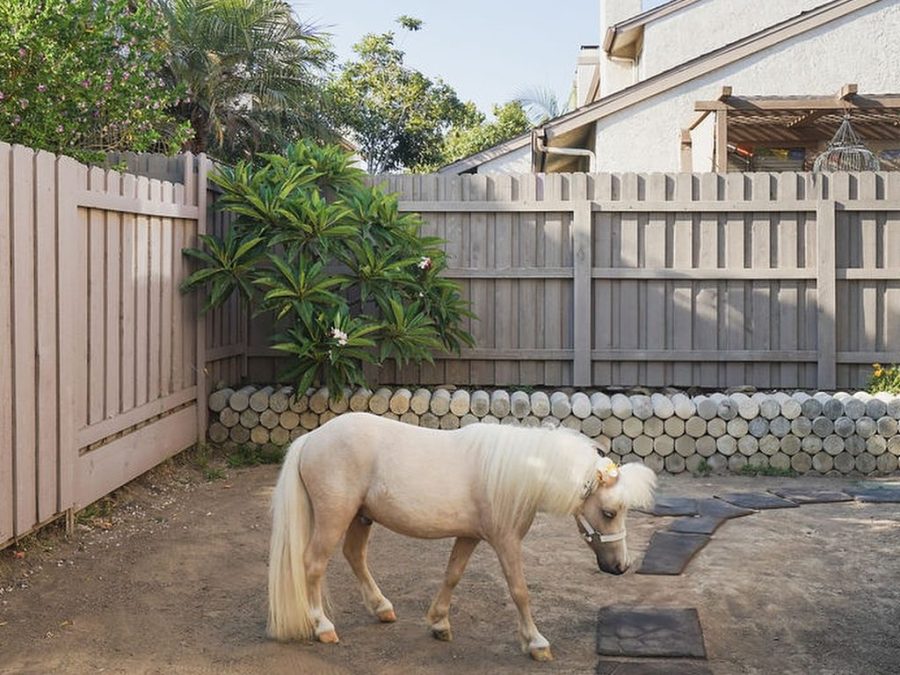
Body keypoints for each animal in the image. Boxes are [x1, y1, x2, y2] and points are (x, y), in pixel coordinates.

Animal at [267, 412, 656, 661]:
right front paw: (535, 643)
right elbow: (519, 591)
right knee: (313, 564)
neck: (516, 472)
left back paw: (383, 608)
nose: (621, 566)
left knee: (355, 556)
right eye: (609, 512)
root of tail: (312, 438)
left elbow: (452, 575)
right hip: (335, 517)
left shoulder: (470, 537)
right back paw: (323, 627)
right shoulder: (505, 541)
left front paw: (439, 623)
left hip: (361, 518)